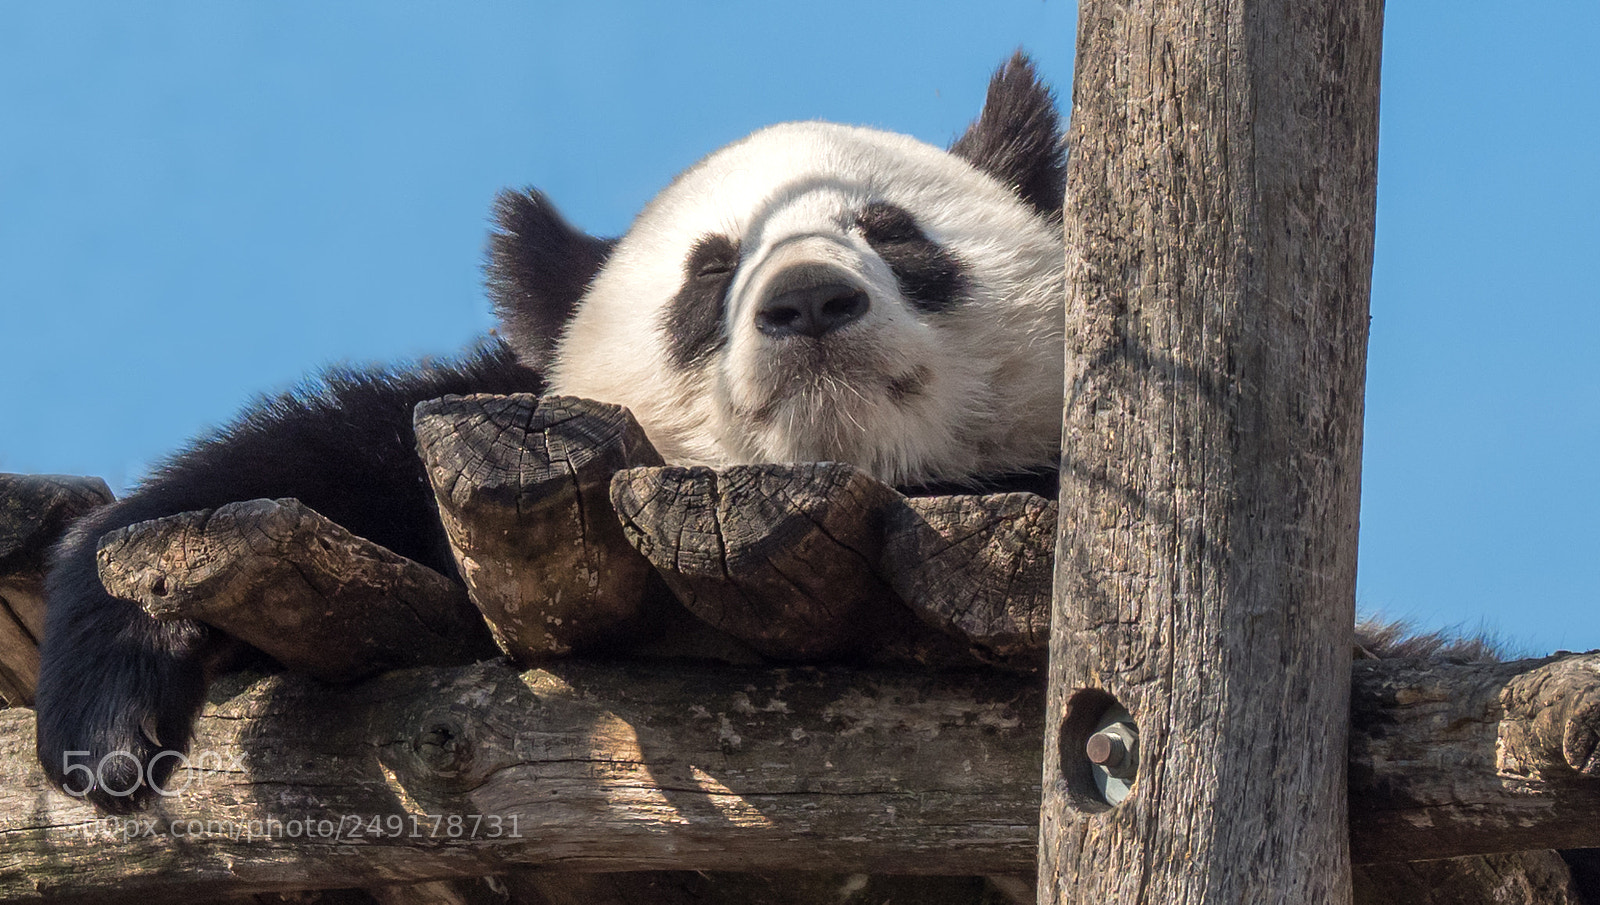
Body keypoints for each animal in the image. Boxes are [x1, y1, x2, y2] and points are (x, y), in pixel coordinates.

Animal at [34, 54, 1067, 812]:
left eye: (893, 233)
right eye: (710, 271)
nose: (808, 299)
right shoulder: (473, 431)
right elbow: (301, 468)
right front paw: (109, 720)